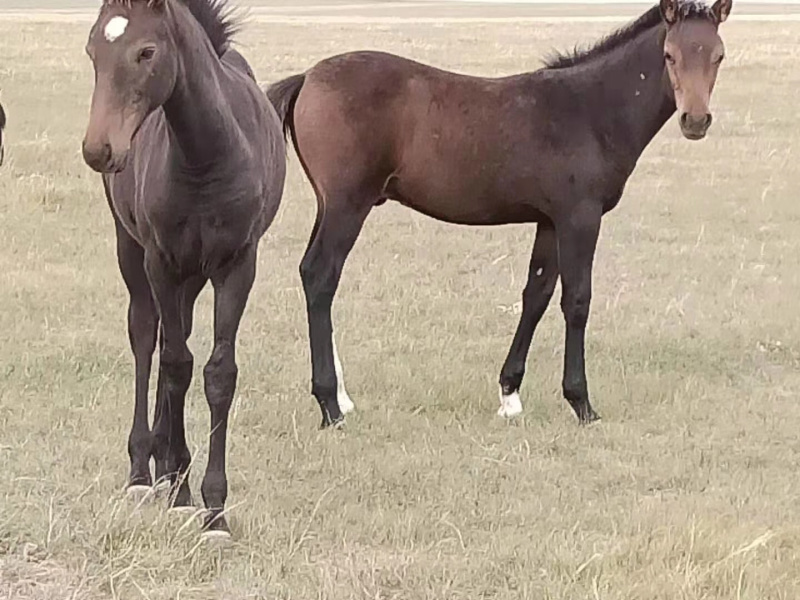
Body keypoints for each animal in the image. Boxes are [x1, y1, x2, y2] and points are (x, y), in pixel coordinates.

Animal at [82, 0, 286, 540]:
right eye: (92, 49)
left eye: (146, 52)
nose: (98, 149)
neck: (206, 156)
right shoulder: (161, 260)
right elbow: (174, 364)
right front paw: (178, 488)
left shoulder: (238, 264)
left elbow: (217, 372)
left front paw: (214, 511)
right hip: (134, 254)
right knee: (146, 338)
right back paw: (143, 470)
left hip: (193, 277)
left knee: (177, 339)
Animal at [267, 0, 732, 429]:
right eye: (669, 55)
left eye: (718, 55)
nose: (695, 120)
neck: (590, 111)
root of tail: (307, 78)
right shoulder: (580, 217)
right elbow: (577, 300)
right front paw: (581, 402)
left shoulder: (549, 221)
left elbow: (536, 294)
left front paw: (509, 395)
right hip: (348, 204)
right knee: (321, 275)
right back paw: (330, 405)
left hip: (328, 204)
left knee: (311, 275)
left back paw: (343, 398)